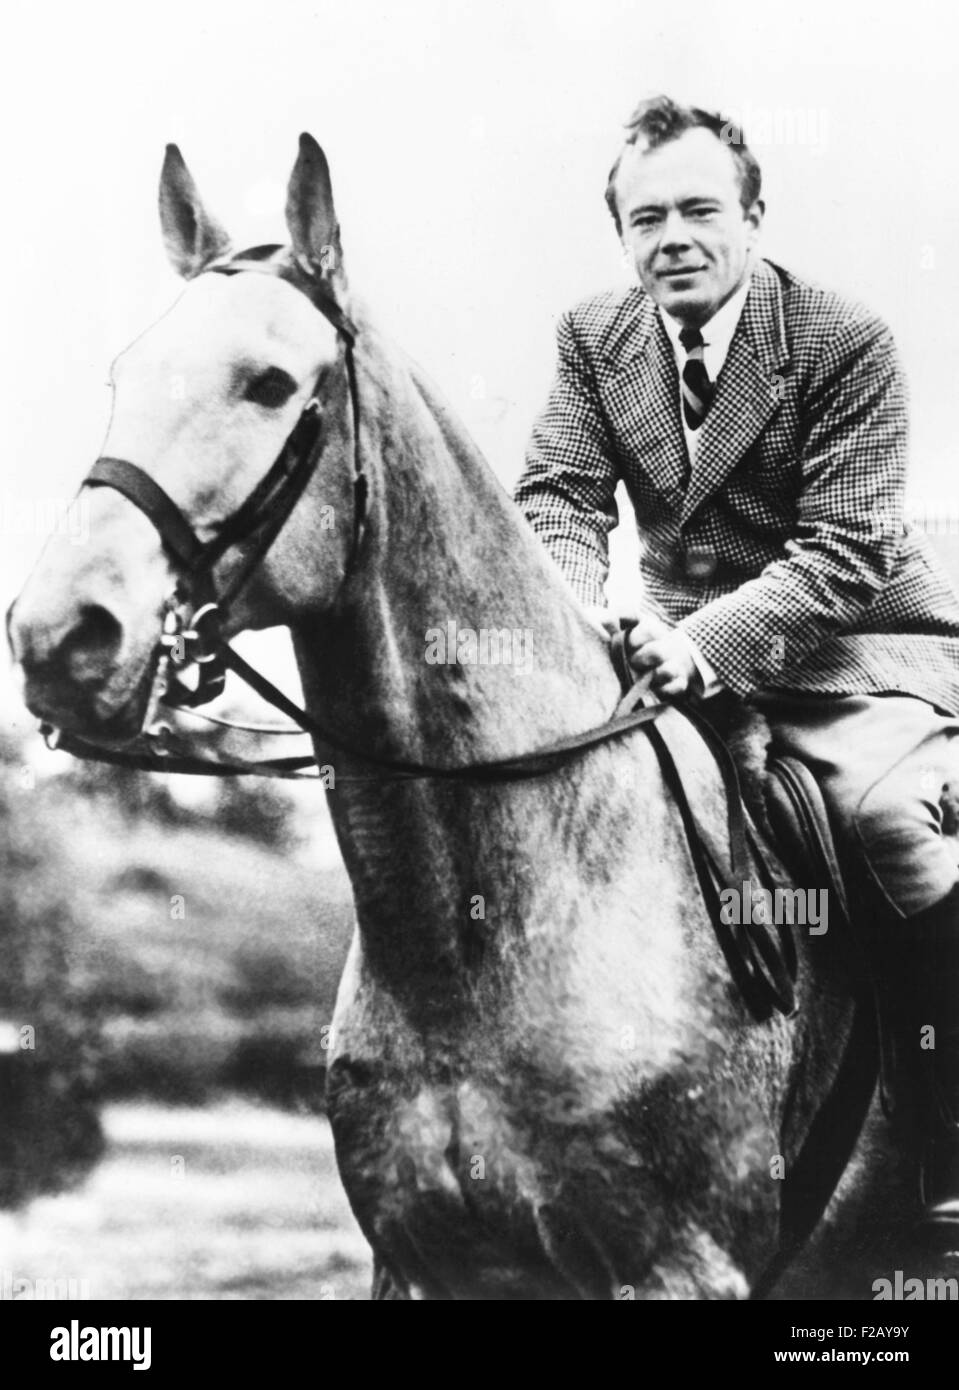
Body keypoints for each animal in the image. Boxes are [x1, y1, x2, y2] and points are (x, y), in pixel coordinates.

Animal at [7, 135, 950, 1295]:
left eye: (270, 383)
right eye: (122, 377)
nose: (59, 636)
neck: (476, 928)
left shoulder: (678, 1266)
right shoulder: (424, 1266)